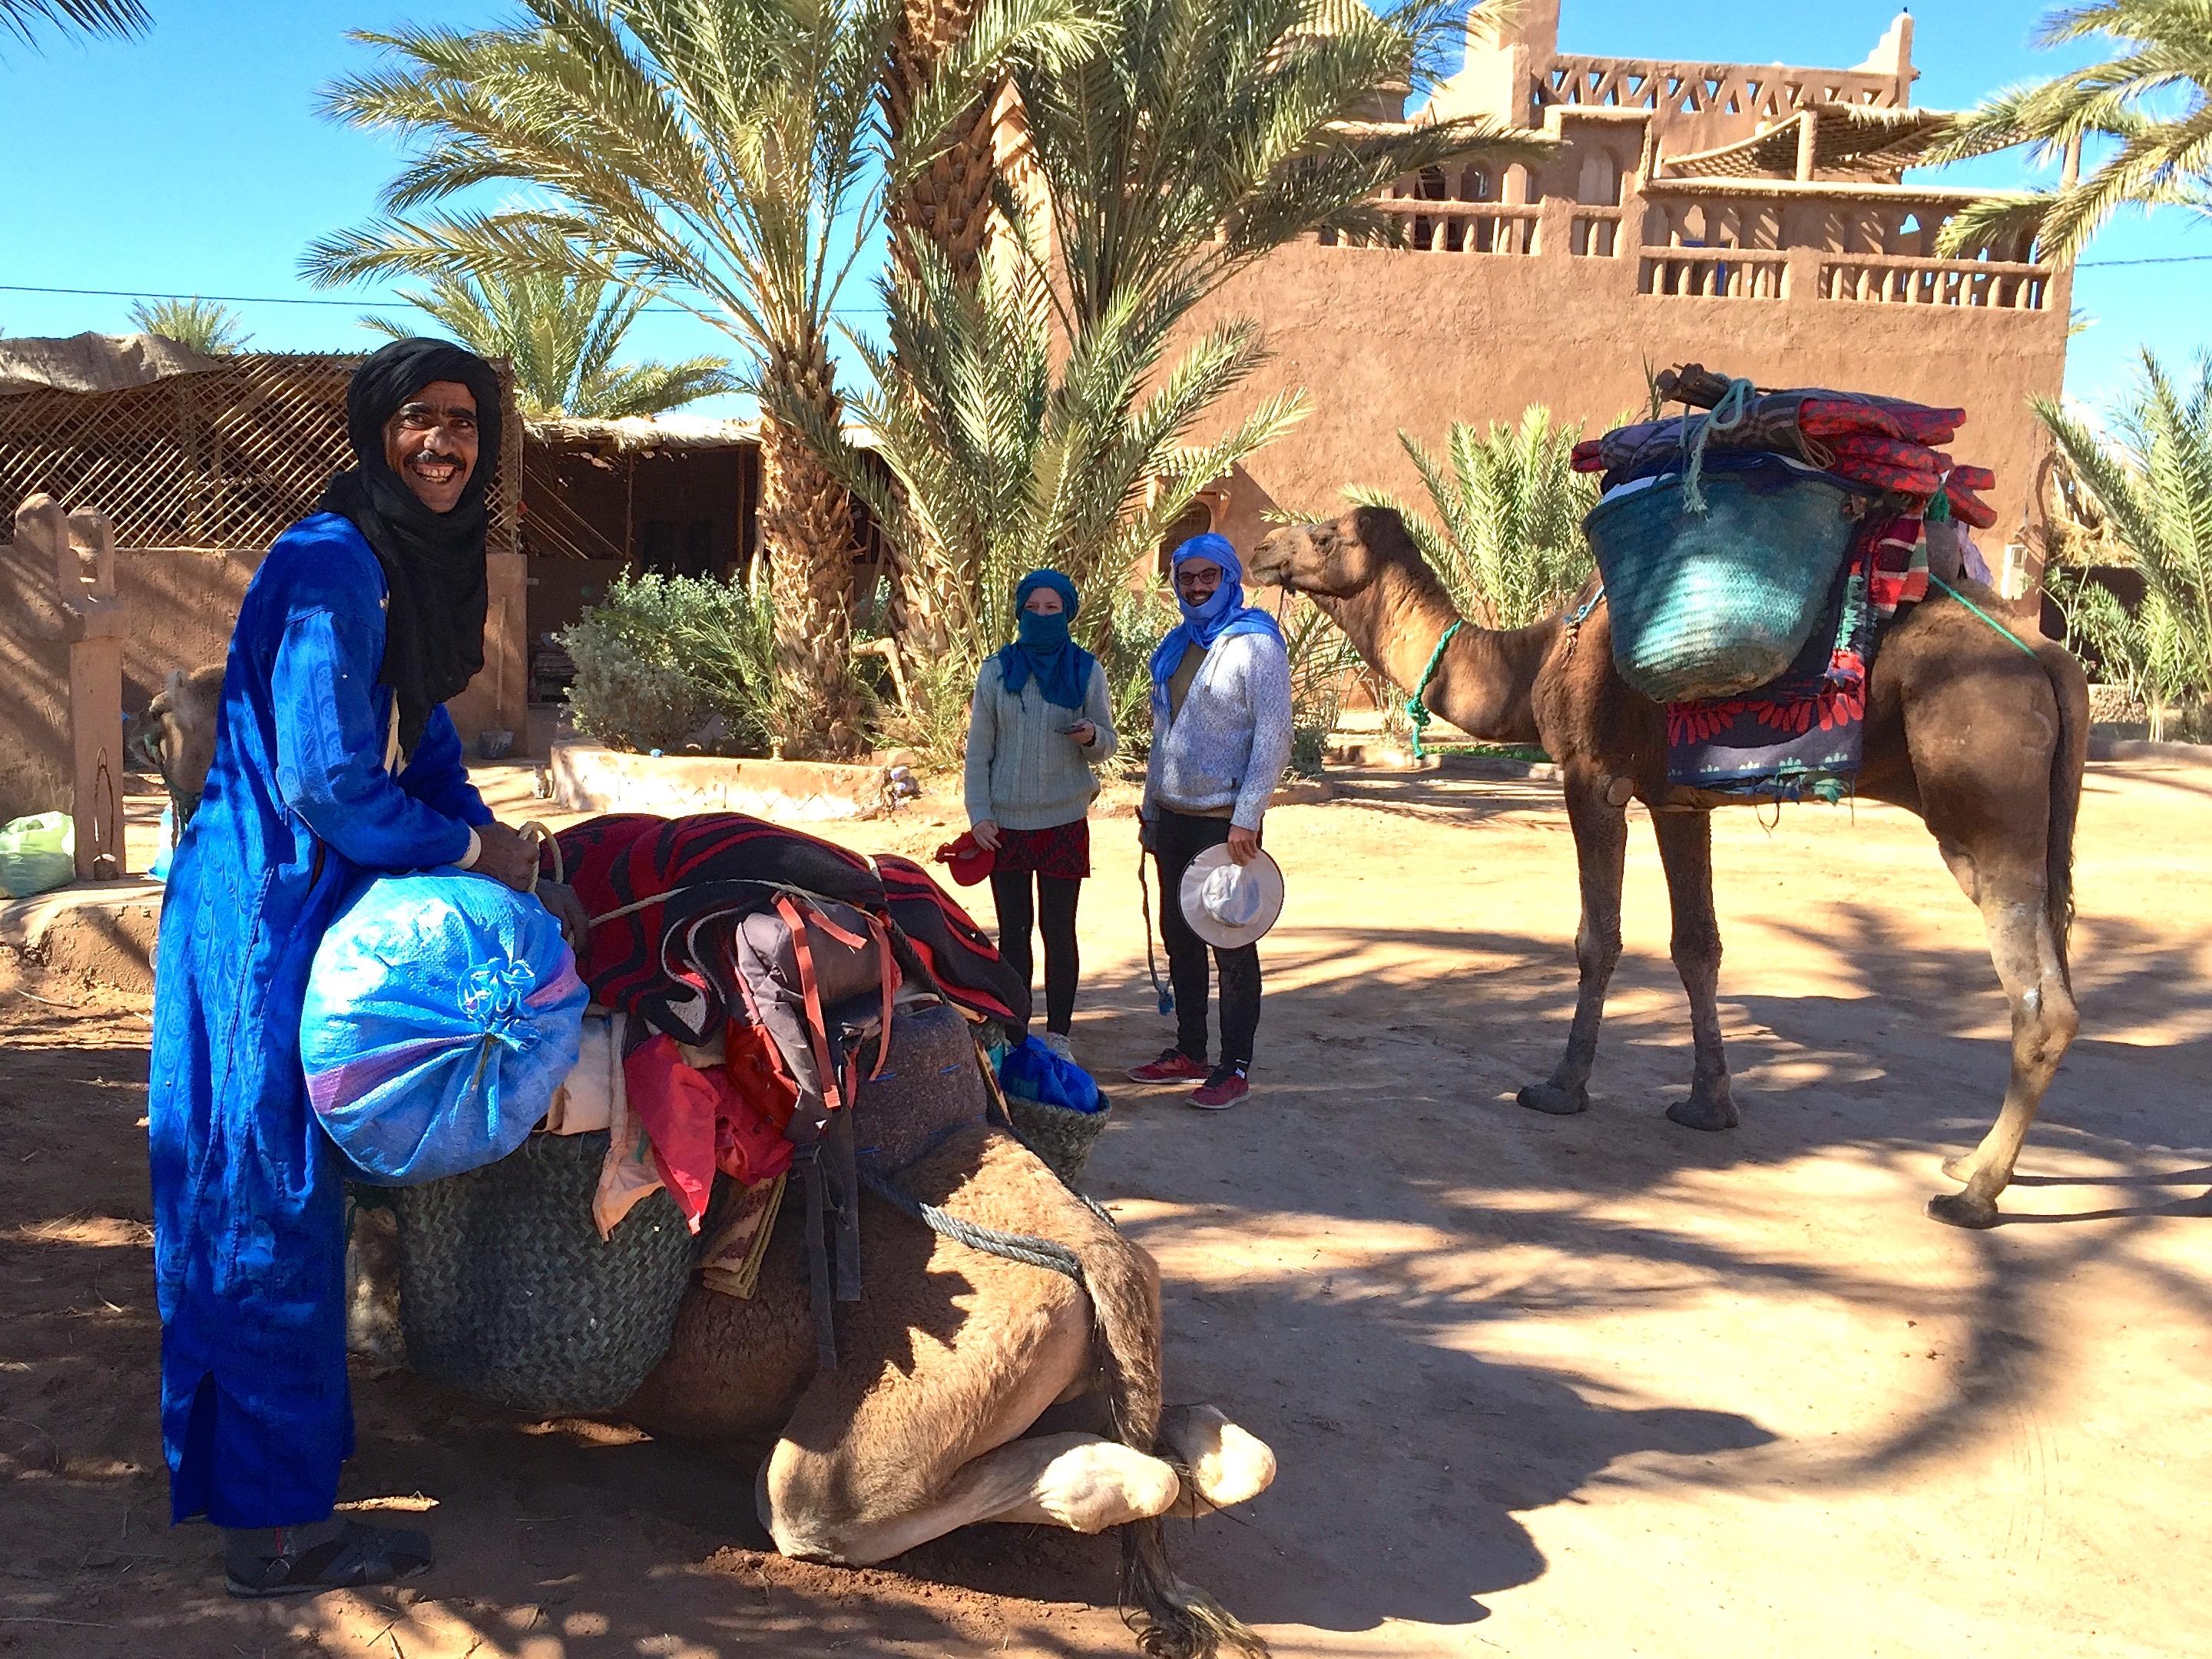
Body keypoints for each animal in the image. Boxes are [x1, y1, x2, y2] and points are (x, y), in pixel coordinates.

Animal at [1265, 506, 2088, 1238]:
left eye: (1326, 535)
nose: (1268, 546)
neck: (1538, 658)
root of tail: (2050, 660)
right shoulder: (1677, 800)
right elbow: (1698, 948)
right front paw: (1708, 1106)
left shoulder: (1593, 777)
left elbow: (1597, 940)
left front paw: (1559, 1088)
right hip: (2042, 823)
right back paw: (1969, 1165)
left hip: (1984, 803)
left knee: (2042, 999)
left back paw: (1974, 1194)